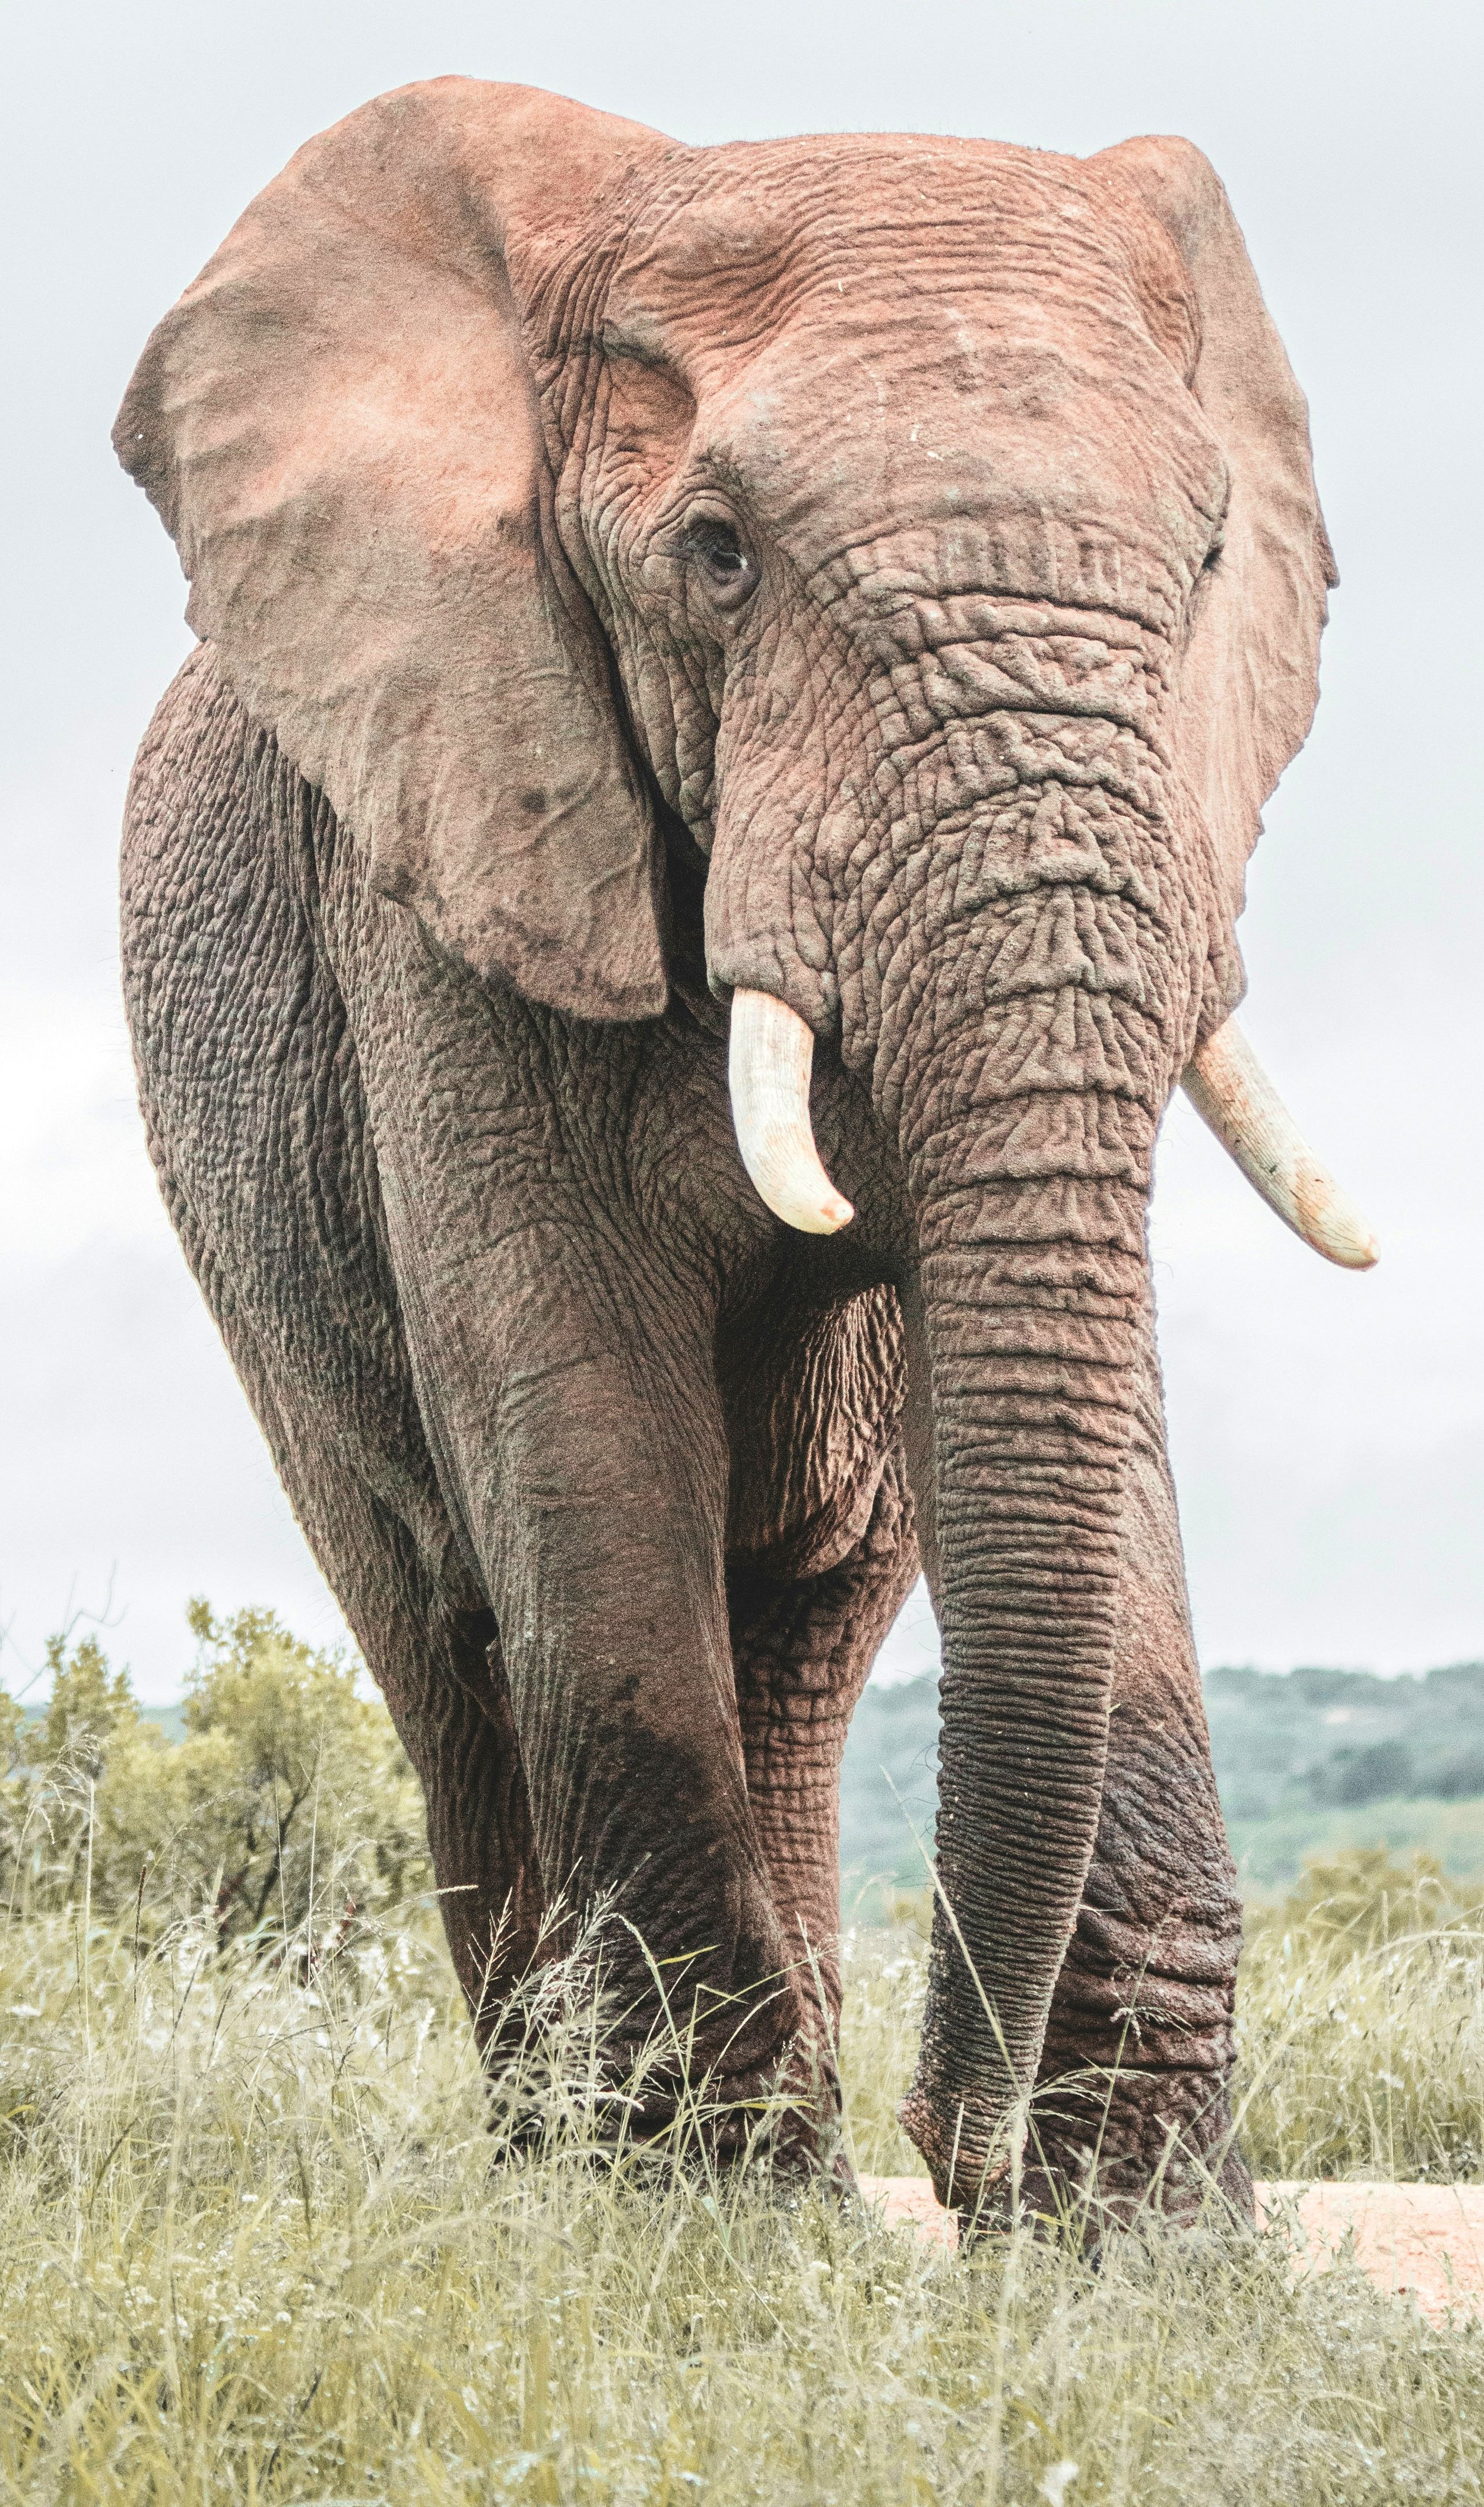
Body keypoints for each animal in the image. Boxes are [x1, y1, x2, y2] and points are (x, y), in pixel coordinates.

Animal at [114, 77, 1375, 2227]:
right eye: (716, 556)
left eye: (1213, 553)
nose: (951, 2146)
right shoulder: (455, 865)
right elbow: (585, 1426)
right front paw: (712, 2248)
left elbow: (1088, 1431)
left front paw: (1146, 2256)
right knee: (446, 1646)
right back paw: (569, 2171)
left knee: (792, 1641)